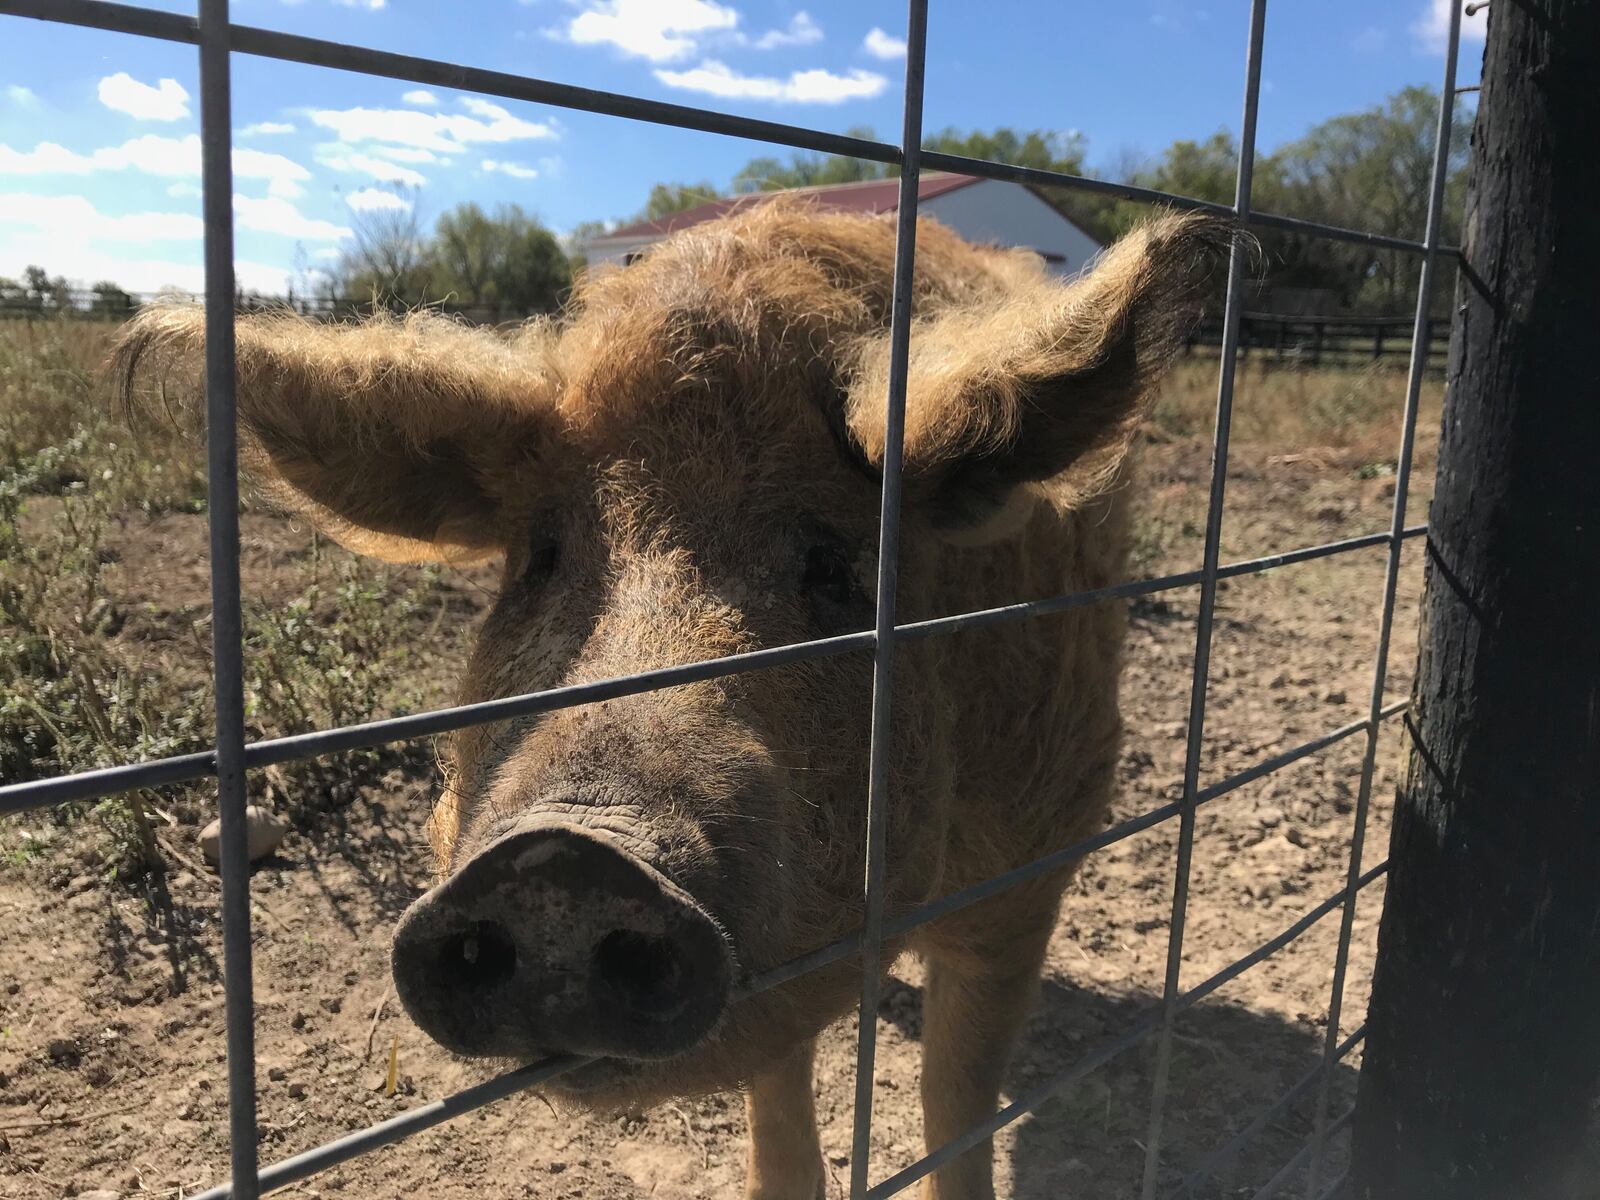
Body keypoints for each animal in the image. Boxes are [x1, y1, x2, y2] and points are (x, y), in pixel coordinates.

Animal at [118, 206, 1228, 1200]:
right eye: (542, 557)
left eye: (834, 567)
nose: (563, 856)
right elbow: (779, 1124)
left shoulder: (1034, 867)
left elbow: (958, 1108)